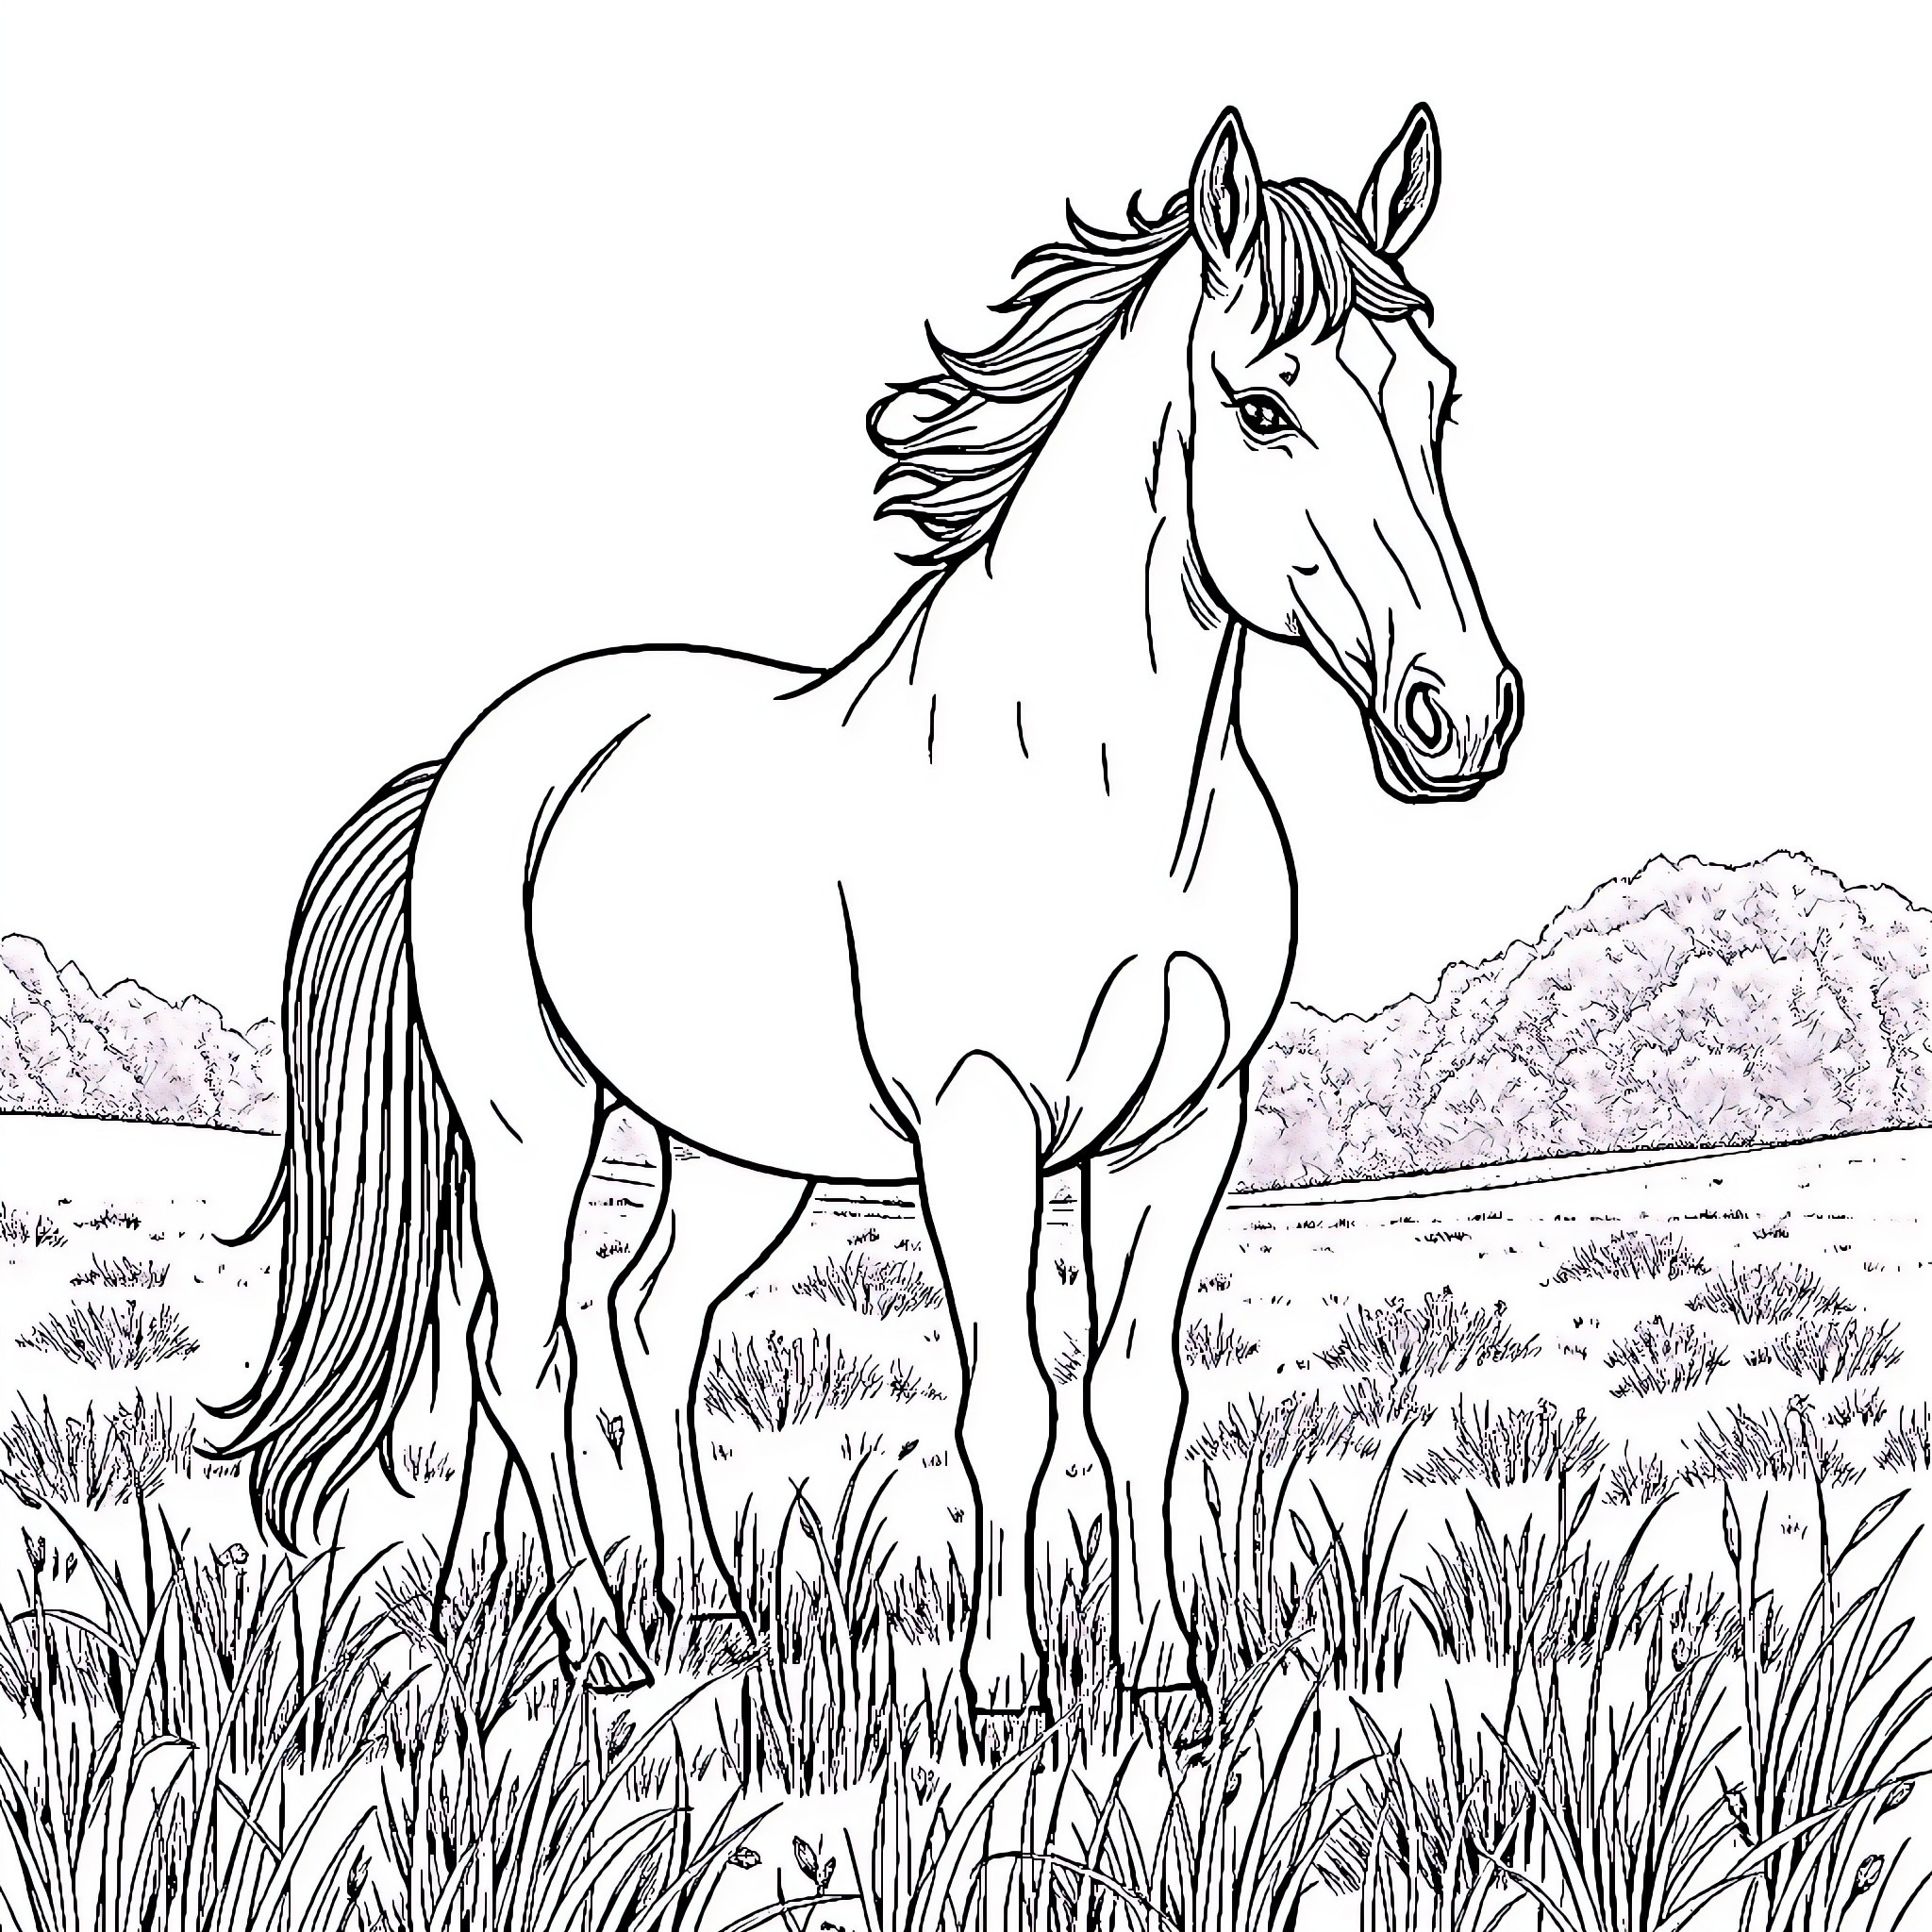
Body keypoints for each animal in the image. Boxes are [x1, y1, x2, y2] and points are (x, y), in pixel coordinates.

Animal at [215, 102, 1522, 1719]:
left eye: (1438, 401)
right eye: (1264, 408)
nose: (1462, 714)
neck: (1096, 788)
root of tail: (470, 759)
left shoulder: (1179, 1131)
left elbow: (1140, 1388)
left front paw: (1162, 1673)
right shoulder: (984, 1126)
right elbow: (1011, 1399)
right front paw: (1005, 1683)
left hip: (737, 1152)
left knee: (646, 1324)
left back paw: (685, 1611)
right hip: (532, 1121)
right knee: (522, 1352)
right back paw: (599, 1641)